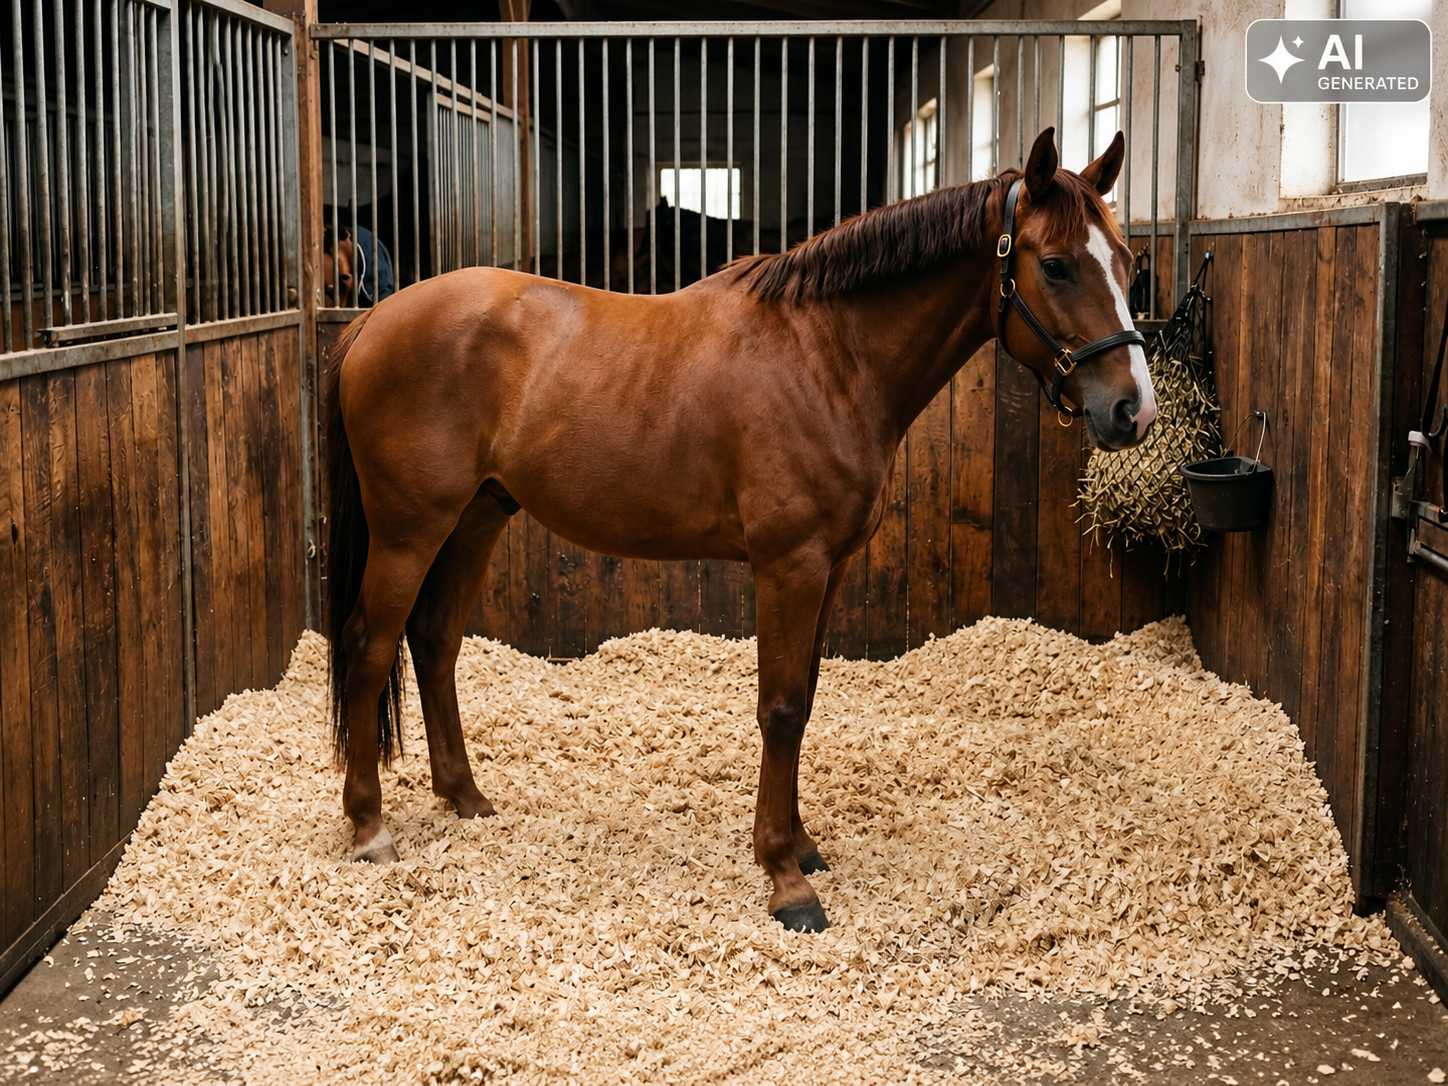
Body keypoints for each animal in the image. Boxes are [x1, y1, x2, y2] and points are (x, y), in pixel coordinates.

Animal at [324, 128, 1157, 933]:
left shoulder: (831, 566)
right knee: (370, 646)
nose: (1133, 410)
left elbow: (805, 698)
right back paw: (369, 827)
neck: (827, 355)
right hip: (409, 530)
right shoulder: (791, 564)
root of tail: (372, 320)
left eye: (1127, 263)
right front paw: (786, 880)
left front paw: (803, 845)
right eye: (1056, 267)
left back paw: (465, 797)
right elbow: (780, 709)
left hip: (477, 515)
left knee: (434, 641)